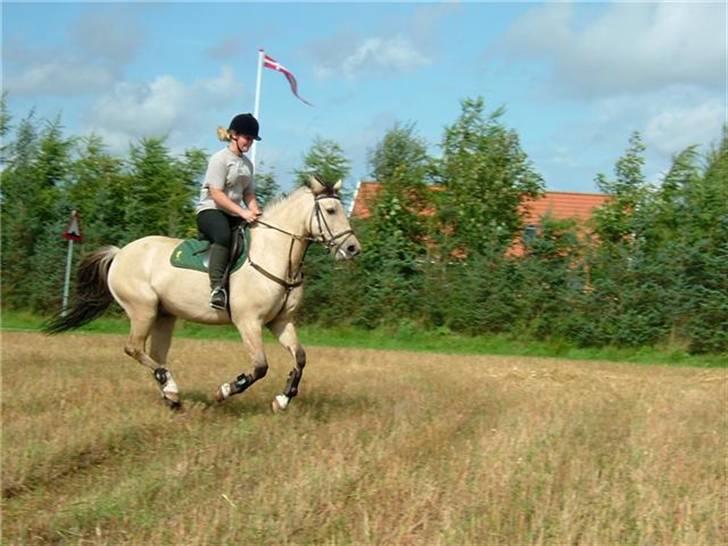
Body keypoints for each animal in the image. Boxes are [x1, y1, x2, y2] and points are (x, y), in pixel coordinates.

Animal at [43, 176, 362, 410]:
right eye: (331, 211)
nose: (352, 249)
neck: (275, 254)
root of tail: (120, 253)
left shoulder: (280, 322)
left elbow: (300, 358)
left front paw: (282, 400)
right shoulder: (248, 322)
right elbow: (260, 367)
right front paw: (224, 391)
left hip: (164, 315)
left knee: (155, 354)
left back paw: (170, 394)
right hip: (143, 309)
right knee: (134, 348)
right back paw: (170, 387)